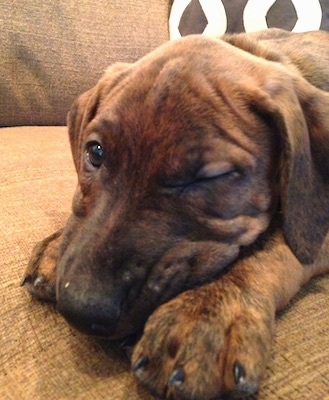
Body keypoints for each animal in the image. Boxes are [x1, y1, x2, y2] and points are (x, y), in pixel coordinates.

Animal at [22, 28, 328, 400]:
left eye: (208, 178)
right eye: (95, 152)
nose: (81, 310)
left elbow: (278, 244)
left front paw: (205, 314)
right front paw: (56, 247)